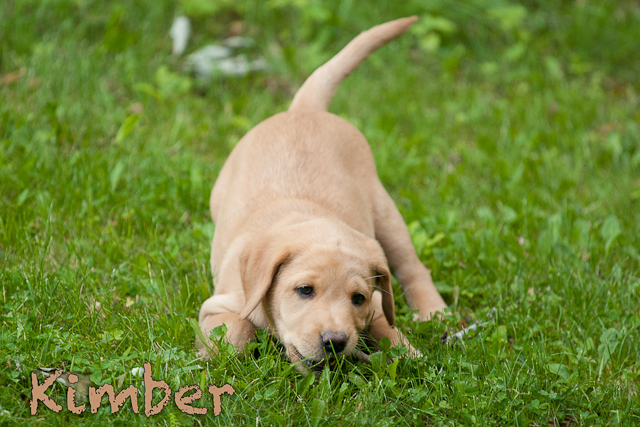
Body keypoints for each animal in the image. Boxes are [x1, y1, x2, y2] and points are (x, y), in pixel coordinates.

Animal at [197, 17, 447, 372]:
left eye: (357, 298)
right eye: (305, 290)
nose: (336, 342)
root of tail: (303, 109)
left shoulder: (376, 302)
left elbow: (387, 326)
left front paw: (409, 356)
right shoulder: (217, 305)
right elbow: (234, 335)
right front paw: (219, 353)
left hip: (385, 212)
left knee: (412, 267)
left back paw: (434, 313)